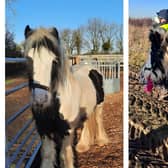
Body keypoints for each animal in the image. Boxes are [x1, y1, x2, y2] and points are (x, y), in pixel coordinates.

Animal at [23, 25, 109, 168]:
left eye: (54, 61)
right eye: (28, 59)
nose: (40, 99)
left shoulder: (67, 131)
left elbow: (65, 157)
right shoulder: (44, 130)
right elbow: (47, 156)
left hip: (100, 105)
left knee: (98, 119)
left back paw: (102, 140)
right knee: (86, 122)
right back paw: (83, 145)